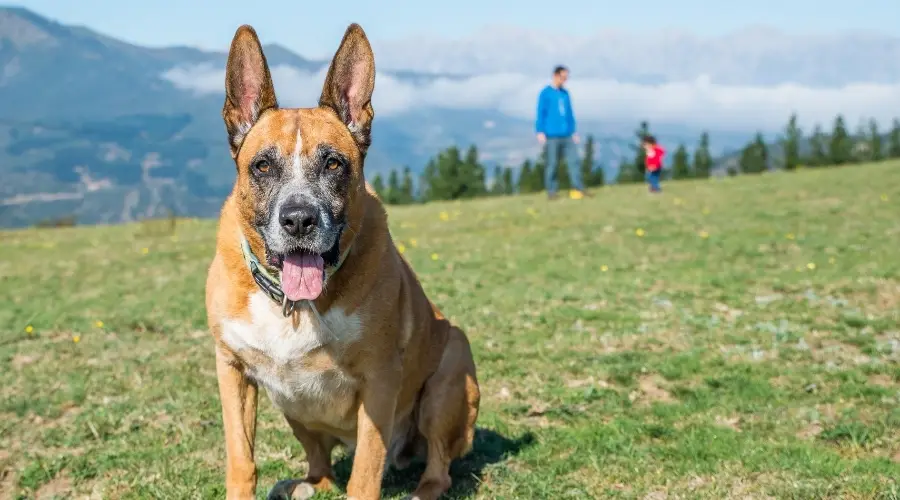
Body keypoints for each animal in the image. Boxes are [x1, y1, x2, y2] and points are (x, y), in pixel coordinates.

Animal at [205, 23, 482, 500]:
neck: (295, 306)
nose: (299, 219)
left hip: (449, 375)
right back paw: (306, 484)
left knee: (438, 464)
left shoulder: (380, 380)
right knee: (321, 461)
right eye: (262, 166)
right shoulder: (232, 369)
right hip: (293, 405)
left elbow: (366, 471)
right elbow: (242, 459)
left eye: (334, 163)